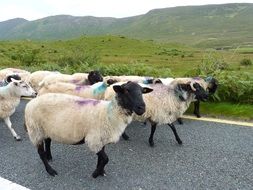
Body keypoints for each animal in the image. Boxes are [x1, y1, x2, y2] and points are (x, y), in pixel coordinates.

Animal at [24, 81, 153, 178]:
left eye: (142, 91)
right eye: (126, 91)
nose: (142, 108)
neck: (109, 113)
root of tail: (32, 101)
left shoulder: (102, 139)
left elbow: (101, 158)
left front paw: (100, 171)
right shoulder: (93, 139)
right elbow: (105, 159)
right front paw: (95, 173)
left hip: (46, 128)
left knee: (48, 141)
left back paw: (49, 156)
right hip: (35, 130)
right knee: (40, 153)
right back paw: (50, 170)